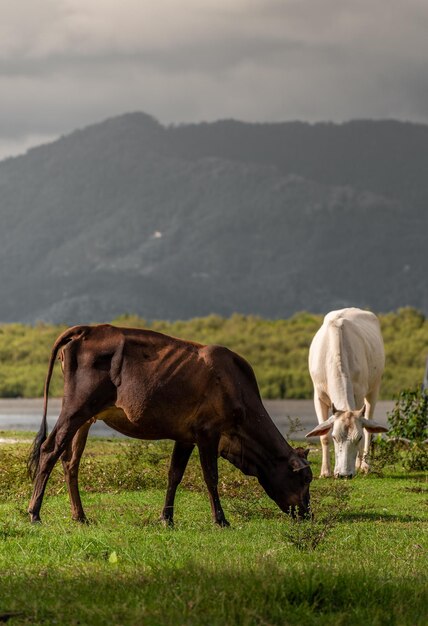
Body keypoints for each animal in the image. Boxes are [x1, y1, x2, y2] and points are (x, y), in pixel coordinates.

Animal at [28, 324, 312, 524]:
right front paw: (220, 520)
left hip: (87, 418)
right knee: (50, 449)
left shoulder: (186, 436)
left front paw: (167, 518)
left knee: (70, 461)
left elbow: (174, 475)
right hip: (76, 407)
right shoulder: (208, 432)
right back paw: (34, 513)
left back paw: (80, 516)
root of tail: (87, 329)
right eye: (304, 479)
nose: (308, 515)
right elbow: (211, 476)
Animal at [306, 308, 386, 478]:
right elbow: (323, 436)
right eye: (335, 437)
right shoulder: (318, 396)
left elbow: (365, 429)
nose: (344, 474)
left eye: (358, 437)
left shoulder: (360, 393)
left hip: (374, 388)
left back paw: (365, 465)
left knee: (369, 425)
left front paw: (359, 465)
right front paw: (325, 472)